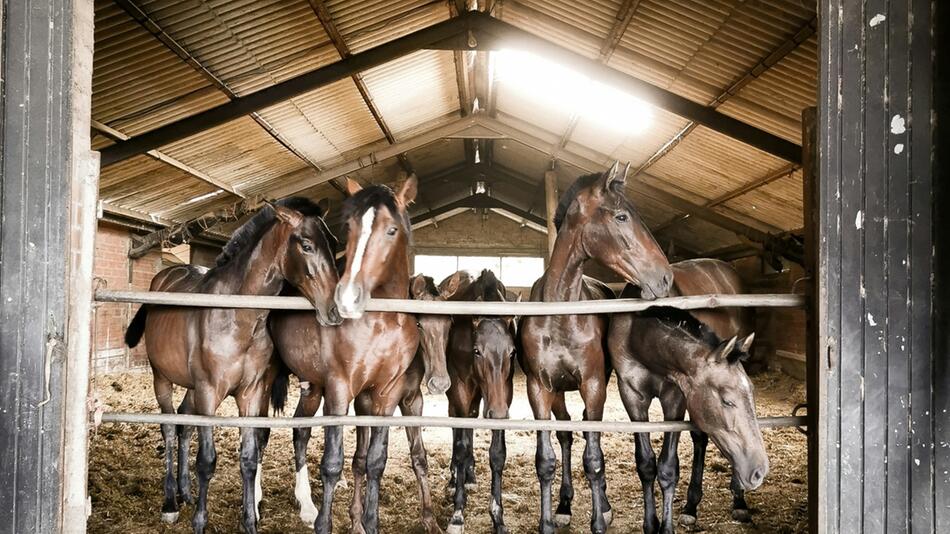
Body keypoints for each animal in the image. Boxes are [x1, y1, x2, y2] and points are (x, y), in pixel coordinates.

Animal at [124, 198, 342, 534]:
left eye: (333, 244)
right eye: (306, 245)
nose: (335, 309)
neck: (237, 316)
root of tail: (163, 276)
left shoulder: (250, 392)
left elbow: (249, 457)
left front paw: (250, 521)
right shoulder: (209, 392)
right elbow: (207, 460)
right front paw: (200, 521)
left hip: (192, 389)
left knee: (185, 423)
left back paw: (185, 493)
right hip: (162, 378)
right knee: (170, 427)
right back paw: (171, 503)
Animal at [272, 177, 424, 534]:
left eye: (392, 230)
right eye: (351, 227)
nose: (346, 299)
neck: (383, 323)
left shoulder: (386, 394)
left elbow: (374, 461)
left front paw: (369, 522)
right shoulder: (340, 389)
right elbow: (332, 462)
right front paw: (325, 524)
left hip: (312, 387)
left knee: (300, 431)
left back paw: (305, 505)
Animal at [446, 272, 520, 534]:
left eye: (512, 352)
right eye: (477, 351)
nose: (497, 412)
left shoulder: (504, 393)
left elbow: (497, 454)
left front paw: (498, 517)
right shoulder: (460, 389)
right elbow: (460, 446)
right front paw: (457, 514)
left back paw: (469, 475)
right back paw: (455, 479)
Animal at [516, 164, 672, 534]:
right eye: (621, 216)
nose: (665, 278)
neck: (560, 314)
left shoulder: (594, 384)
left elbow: (595, 460)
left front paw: (599, 519)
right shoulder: (538, 388)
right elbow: (545, 460)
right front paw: (548, 522)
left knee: (589, 435)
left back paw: (603, 506)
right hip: (558, 392)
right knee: (568, 436)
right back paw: (564, 505)